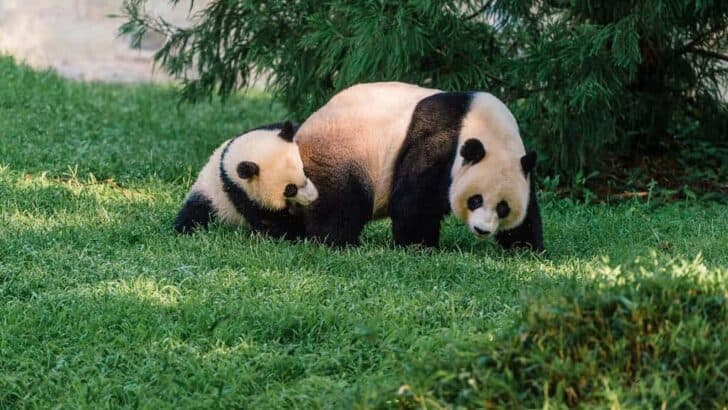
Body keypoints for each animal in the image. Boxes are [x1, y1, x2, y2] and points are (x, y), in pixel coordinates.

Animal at [173, 121, 318, 239]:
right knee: (195, 213)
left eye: (305, 171)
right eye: (290, 189)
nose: (312, 197)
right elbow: (272, 220)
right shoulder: (240, 193)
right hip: (211, 196)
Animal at [293, 82, 543, 250]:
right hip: (342, 151)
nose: (482, 230)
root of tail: (300, 135)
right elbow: (413, 201)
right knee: (339, 202)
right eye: (475, 200)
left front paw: (526, 248)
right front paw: (419, 246)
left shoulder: (521, 166)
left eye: (503, 207)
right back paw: (336, 242)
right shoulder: (440, 141)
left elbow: (528, 213)